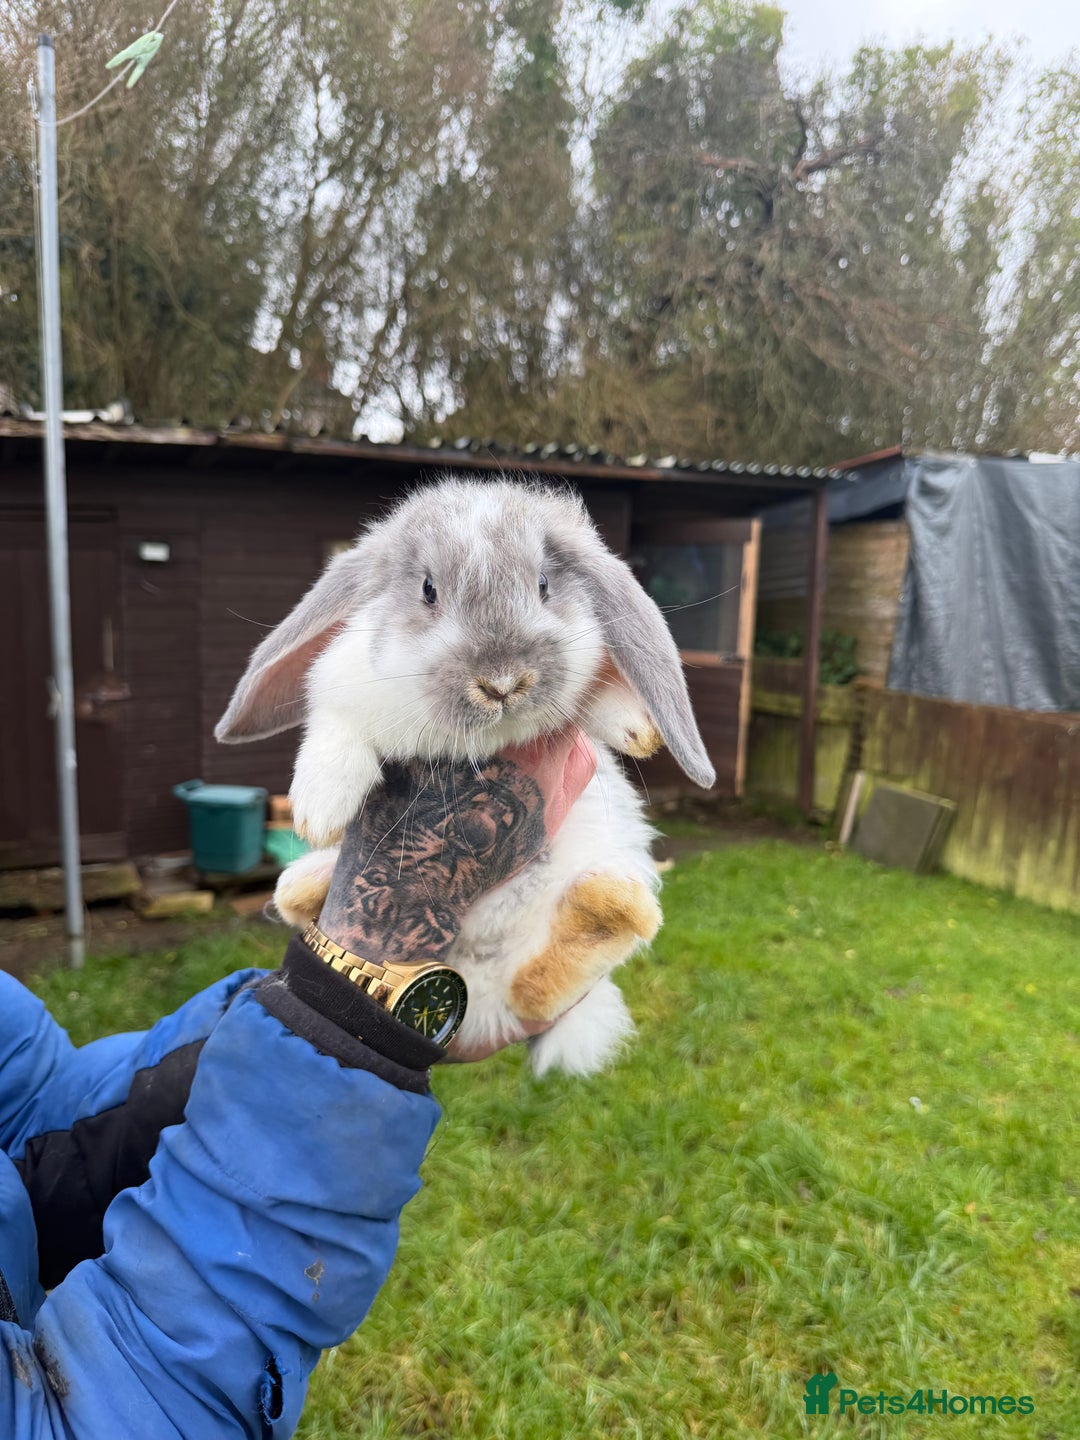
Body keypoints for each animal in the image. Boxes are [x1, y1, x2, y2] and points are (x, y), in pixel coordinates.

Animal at [215, 475, 715, 1075]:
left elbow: (595, 699)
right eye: (429, 589)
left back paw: (607, 904)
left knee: (551, 978)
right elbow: (335, 727)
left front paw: (638, 726)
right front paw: (320, 808)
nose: (502, 682)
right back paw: (303, 885)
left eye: (544, 584)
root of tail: (480, 1008)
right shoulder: (344, 687)